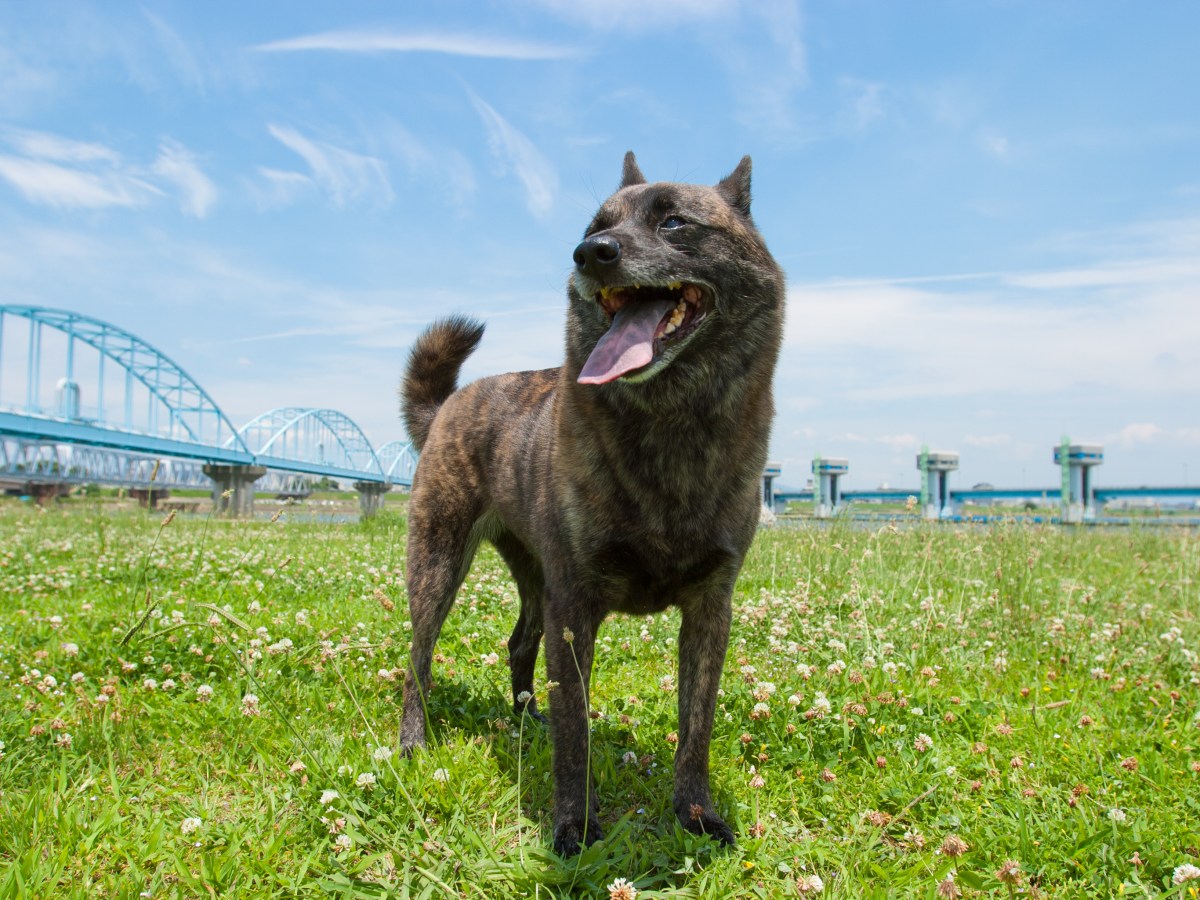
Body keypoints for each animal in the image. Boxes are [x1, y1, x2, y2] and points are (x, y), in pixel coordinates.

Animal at [398, 151, 782, 854]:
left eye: (675, 222)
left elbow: (695, 731)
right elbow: (576, 737)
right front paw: (574, 826)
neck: (669, 426)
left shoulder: (709, 610)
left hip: (533, 573)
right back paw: (414, 741)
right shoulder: (575, 607)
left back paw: (527, 720)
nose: (590, 253)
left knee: (520, 642)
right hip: (438, 562)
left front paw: (696, 816)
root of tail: (447, 405)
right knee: (418, 660)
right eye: (594, 226)